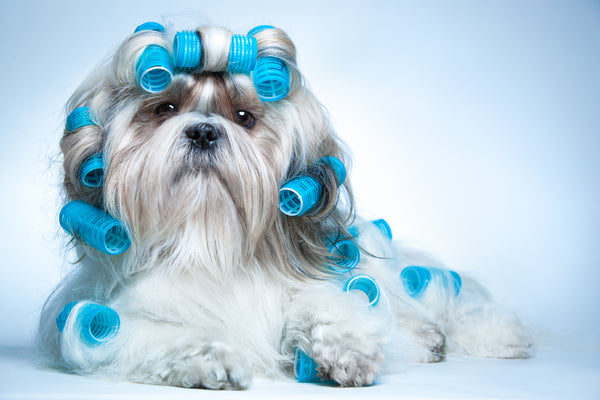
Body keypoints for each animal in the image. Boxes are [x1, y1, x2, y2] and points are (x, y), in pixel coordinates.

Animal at [38, 21, 536, 388]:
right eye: (165, 109)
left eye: (244, 117)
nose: (203, 131)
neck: (208, 237)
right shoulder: (108, 320)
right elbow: (155, 333)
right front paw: (210, 357)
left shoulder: (322, 278)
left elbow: (323, 303)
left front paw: (347, 350)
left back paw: (478, 335)